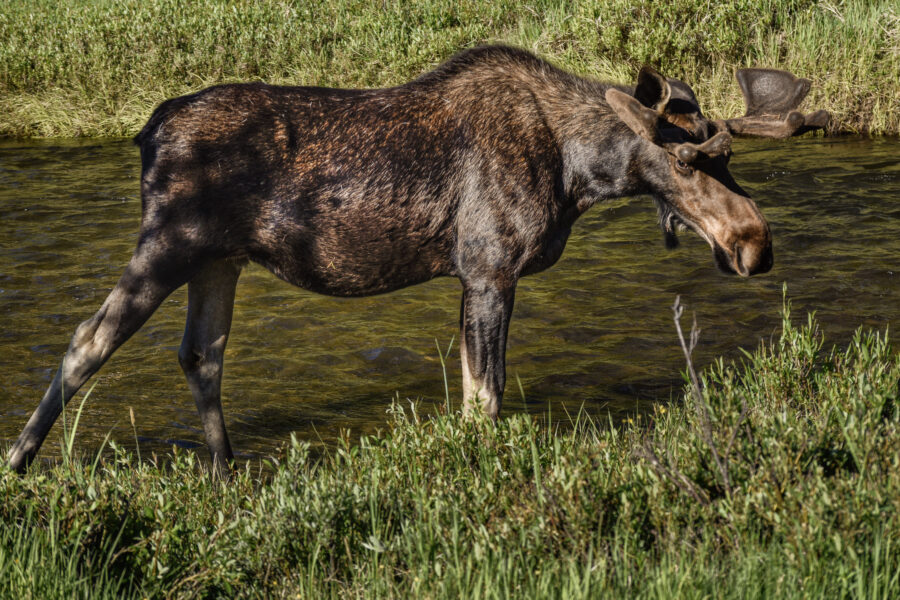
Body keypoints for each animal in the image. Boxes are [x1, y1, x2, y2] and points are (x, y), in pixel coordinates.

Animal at [7, 45, 828, 472]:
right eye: (687, 162)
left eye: (727, 159)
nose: (756, 242)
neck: (579, 174)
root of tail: (145, 132)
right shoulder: (489, 268)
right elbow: (485, 399)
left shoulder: (478, 278)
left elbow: (473, 394)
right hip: (169, 240)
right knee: (87, 340)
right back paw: (19, 461)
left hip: (219, 258)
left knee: (202, 354)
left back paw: (227, 468)